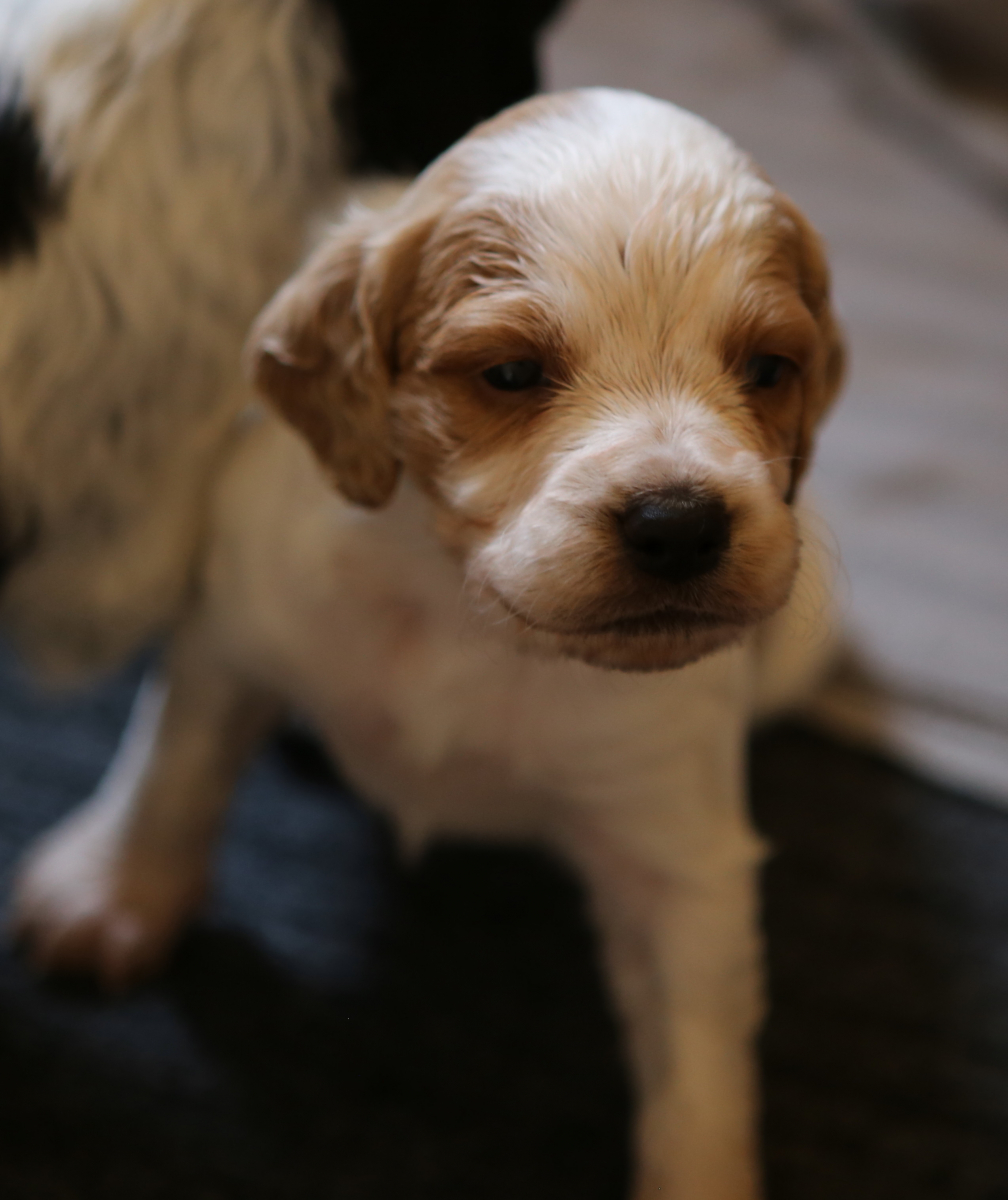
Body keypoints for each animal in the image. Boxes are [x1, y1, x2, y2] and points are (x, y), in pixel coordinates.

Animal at [12, 89, 844, 1199]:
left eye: (767, 368)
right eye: (511, 372)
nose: (680, 524)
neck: (466, 612)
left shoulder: (677, 852)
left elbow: (698, 1074)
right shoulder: (237, 630)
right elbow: (171, 772)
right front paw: (115, 894)